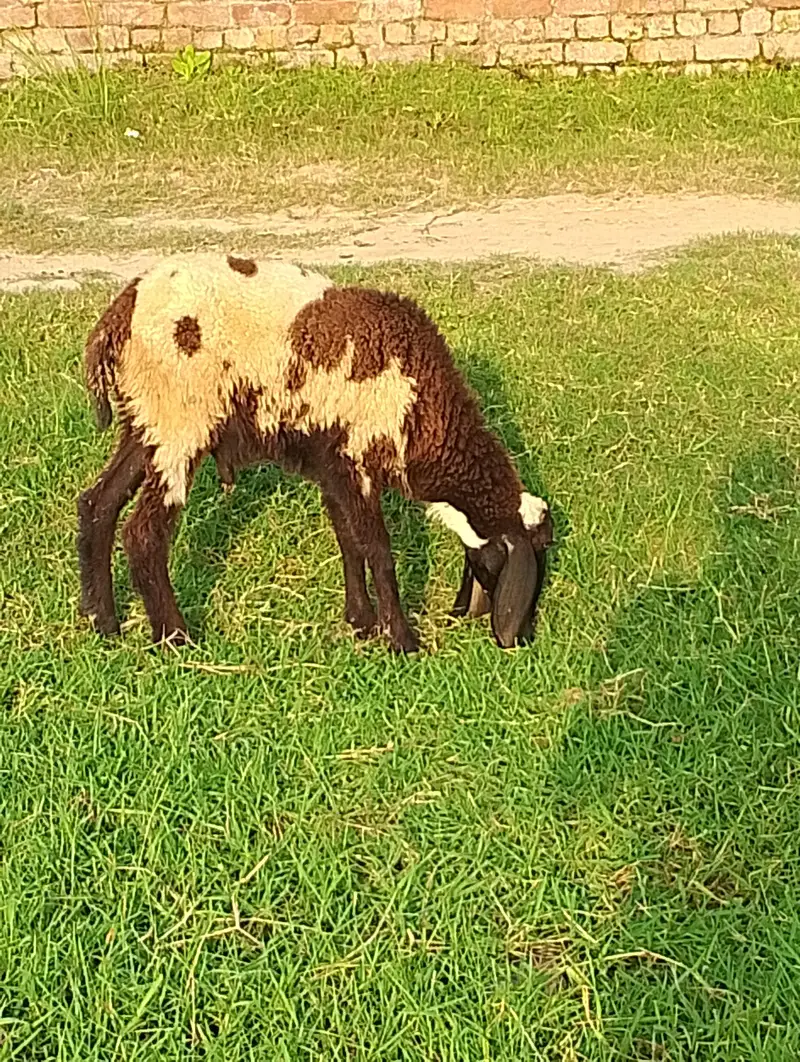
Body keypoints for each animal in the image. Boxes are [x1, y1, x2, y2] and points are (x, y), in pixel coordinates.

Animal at [77, 253, 553, 652]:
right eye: (536, 555)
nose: (525, 636)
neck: (423, 408)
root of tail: (122, 311)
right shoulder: (358, 457)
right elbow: (378, 550)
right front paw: (401, 639)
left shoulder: (333, 464)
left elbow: (349, 541)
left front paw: (361, 622)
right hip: (179, 424)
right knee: (143, 533)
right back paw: (174, 637)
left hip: (145, 423)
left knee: (98, 504)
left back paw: (103, 623)